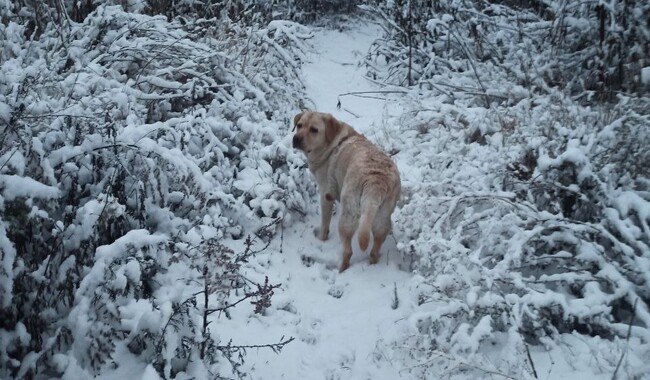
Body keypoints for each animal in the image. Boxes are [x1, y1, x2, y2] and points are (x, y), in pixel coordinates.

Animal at [290, 111, 400, 272]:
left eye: (314, 130)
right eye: (299, 125)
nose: (296, 139)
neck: (331, 145)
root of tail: (375, 181)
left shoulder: (326, 194)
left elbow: (325, 223)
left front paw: (322, 239)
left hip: (347, 218)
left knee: (348, 251)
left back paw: (341, 269)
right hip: (382, 221)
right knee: (375, 249)